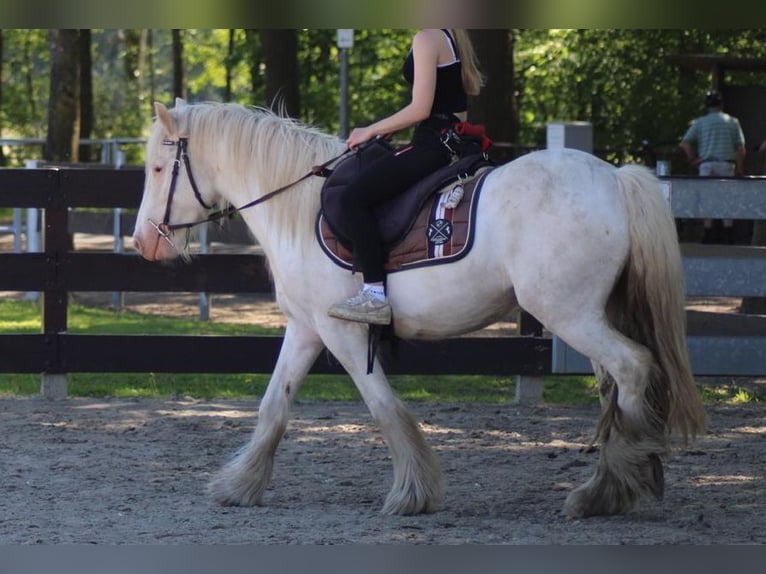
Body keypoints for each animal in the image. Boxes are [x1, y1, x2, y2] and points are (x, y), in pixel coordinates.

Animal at [132, 98, 706, 518]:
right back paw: (619, 482)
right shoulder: (306, 329)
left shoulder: (342, 334)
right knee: (617, 386)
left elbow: (386, 408)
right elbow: (274, 405)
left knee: (633, 368)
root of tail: (615, 179)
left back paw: (607, 487)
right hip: (589, 315)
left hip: (570, 316)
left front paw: (412, 494)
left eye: (159, 168)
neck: (297, 207)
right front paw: (239, 485)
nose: (143, 242)